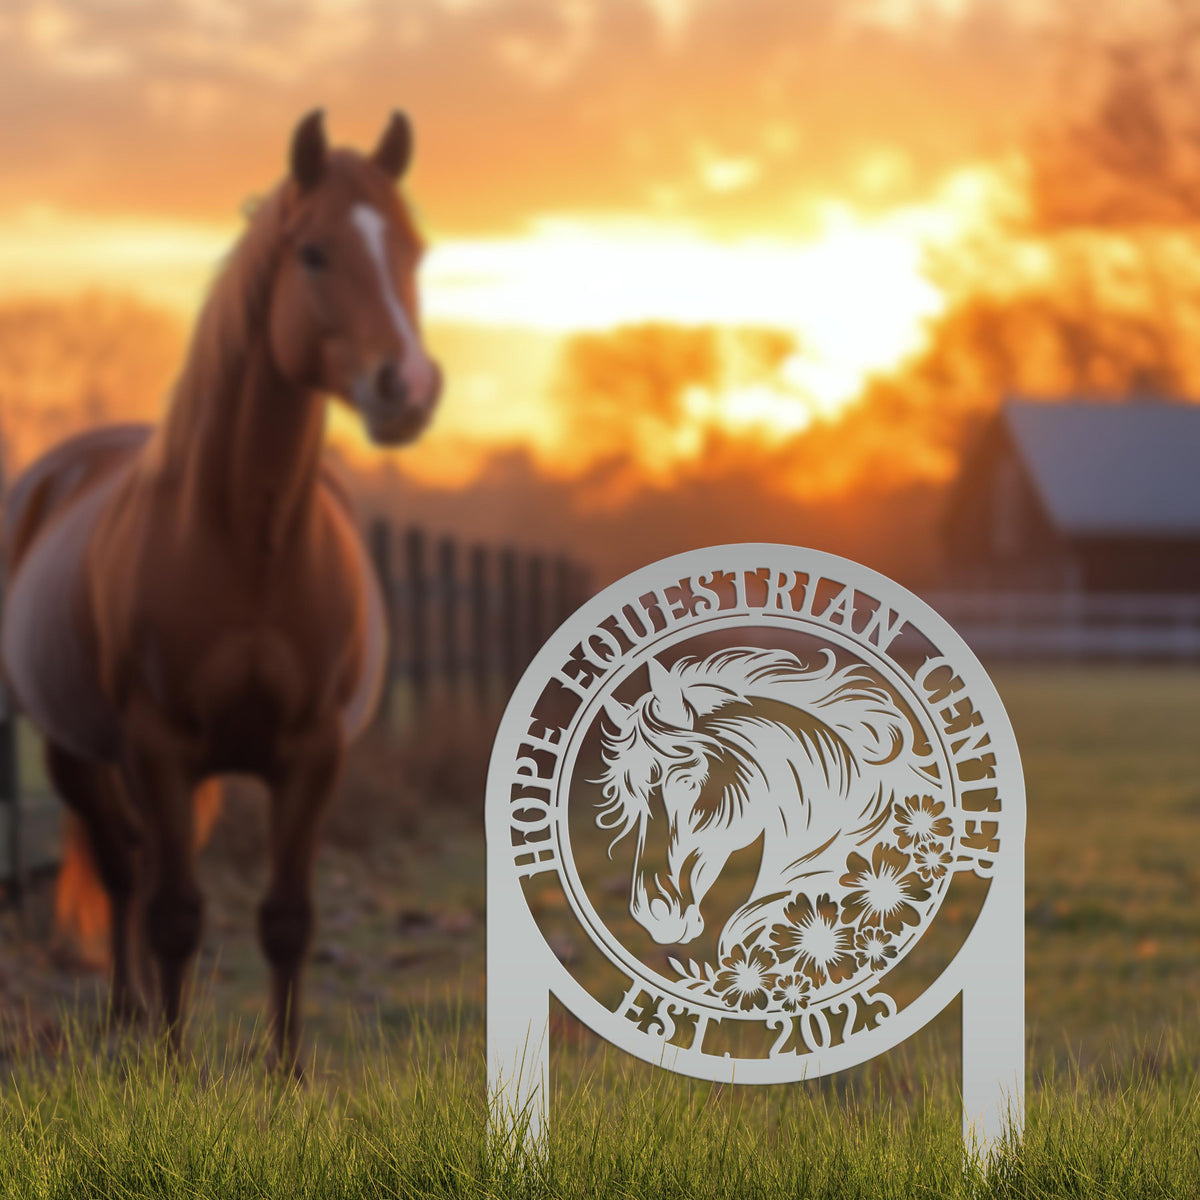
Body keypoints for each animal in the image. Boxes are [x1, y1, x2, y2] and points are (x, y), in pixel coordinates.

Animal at [0, 109, 441, 1069]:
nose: (410, 388)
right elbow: (174, 914)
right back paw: (129, 1015)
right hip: (74, 750)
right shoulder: (158, 746)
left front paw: (285, 1074)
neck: (250, 543)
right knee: (122, 868)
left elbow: (287, 920)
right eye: (313, 253)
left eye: (414, 251)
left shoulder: (314, 753)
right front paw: (169, 1067)